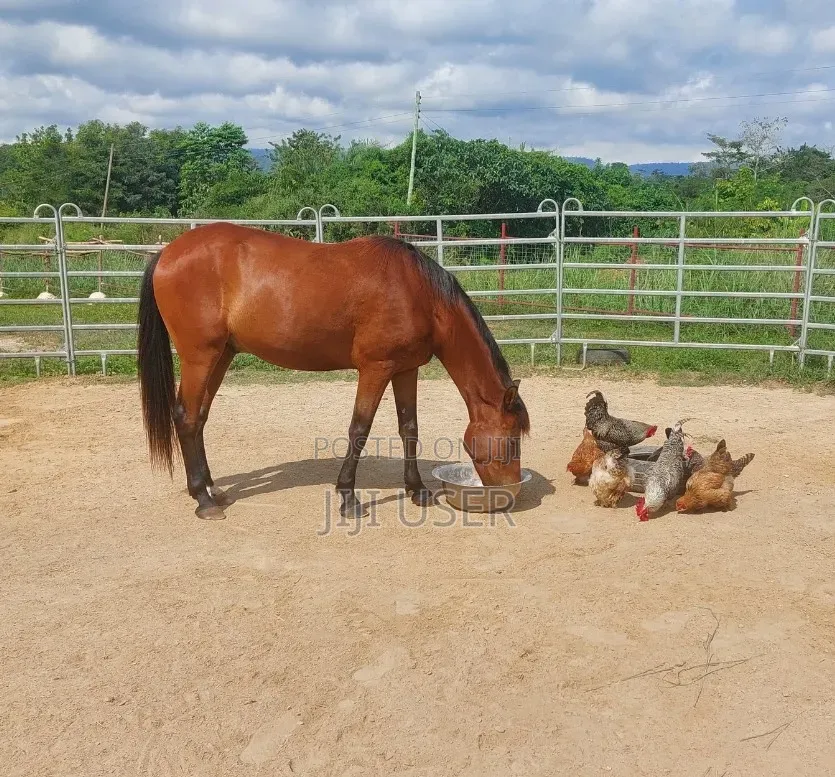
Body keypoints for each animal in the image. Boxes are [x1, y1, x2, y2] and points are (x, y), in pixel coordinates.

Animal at [136, 222, 530, 520]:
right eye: (512, 438)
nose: (507, 490)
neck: (419, 294)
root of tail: (167, 253)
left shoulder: (406, 370)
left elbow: (409, 428)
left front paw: (417, 490)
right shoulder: (375, 369)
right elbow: (359, 429)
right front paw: (348, 497)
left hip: (221, 356)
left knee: (199, 418)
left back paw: (210, 488)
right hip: (200, 358)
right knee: (186, 417)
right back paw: (203, 500)